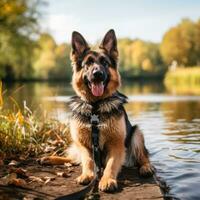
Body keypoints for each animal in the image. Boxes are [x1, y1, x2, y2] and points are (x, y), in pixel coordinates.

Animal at [40, 29, 153, 192]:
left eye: (105, 63)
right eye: (88, 63)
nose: (97, 74)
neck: (95, 108)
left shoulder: (116, 145)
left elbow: (111, 165)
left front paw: (107, 180)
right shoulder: (84, 144)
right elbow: (87, 161)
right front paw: (87, 175)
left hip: (136, 134)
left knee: (143, 157)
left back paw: (146, 168)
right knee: (74, 159)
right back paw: (49, 158)